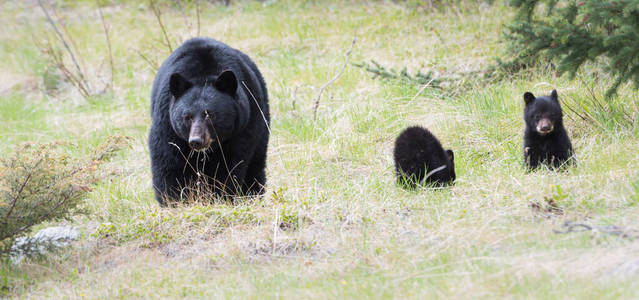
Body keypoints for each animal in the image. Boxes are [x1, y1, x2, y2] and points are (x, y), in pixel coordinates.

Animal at [149, 37, 268, 205]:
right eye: (187, 117)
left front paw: (220, 197)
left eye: (209, 114)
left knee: (256, 165)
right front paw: (174, 201)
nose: (196, 140)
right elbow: (168, 164)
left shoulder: (241, 129)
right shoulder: (167, 125)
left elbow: (229, 166)